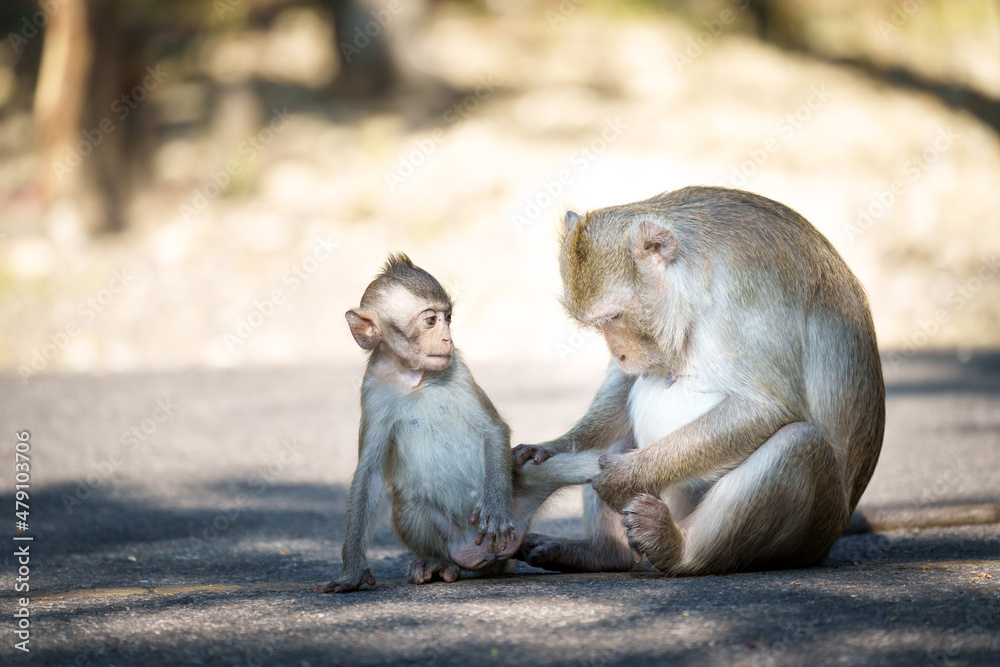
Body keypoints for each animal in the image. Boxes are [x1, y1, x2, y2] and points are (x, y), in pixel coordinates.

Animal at [313, 254, 599, 593]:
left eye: (448, 317)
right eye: (430, 321)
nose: (447, 338)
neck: (416, 378)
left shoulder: (458, 370)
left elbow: (492, 429)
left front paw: (494, 510)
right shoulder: (373, 392)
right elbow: (368, 474)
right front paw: (352, 573)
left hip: (517, 505)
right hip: (453, 540)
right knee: (407, 501)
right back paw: (440, 564)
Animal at [512, 185, 889, 576]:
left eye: (614, 317)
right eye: (598, 324)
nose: (618, 352)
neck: (690, 279)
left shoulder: (738, 296)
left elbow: (765, 409)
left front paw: (620, 478)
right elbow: (625, 384)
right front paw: (553, 447)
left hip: (810, 532)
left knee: (798, 443)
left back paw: (677, 550)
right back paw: (603, 552)